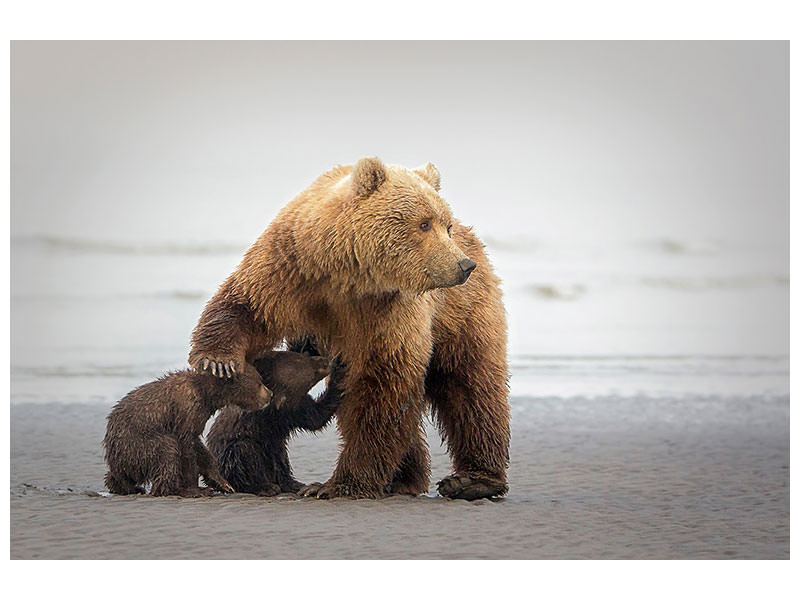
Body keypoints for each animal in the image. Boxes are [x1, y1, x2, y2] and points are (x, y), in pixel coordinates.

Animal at [191, 157, 510, 500]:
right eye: (425, 224)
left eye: (445, 225)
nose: (463, 265)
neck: (348, 273)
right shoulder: (292, 266)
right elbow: (248, 305)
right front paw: (218, 361)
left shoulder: (388, 311)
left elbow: (382, 383)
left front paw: (338, 484)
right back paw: (405, 478)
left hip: (463, 313)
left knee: (471, 387)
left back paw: (472, 479)